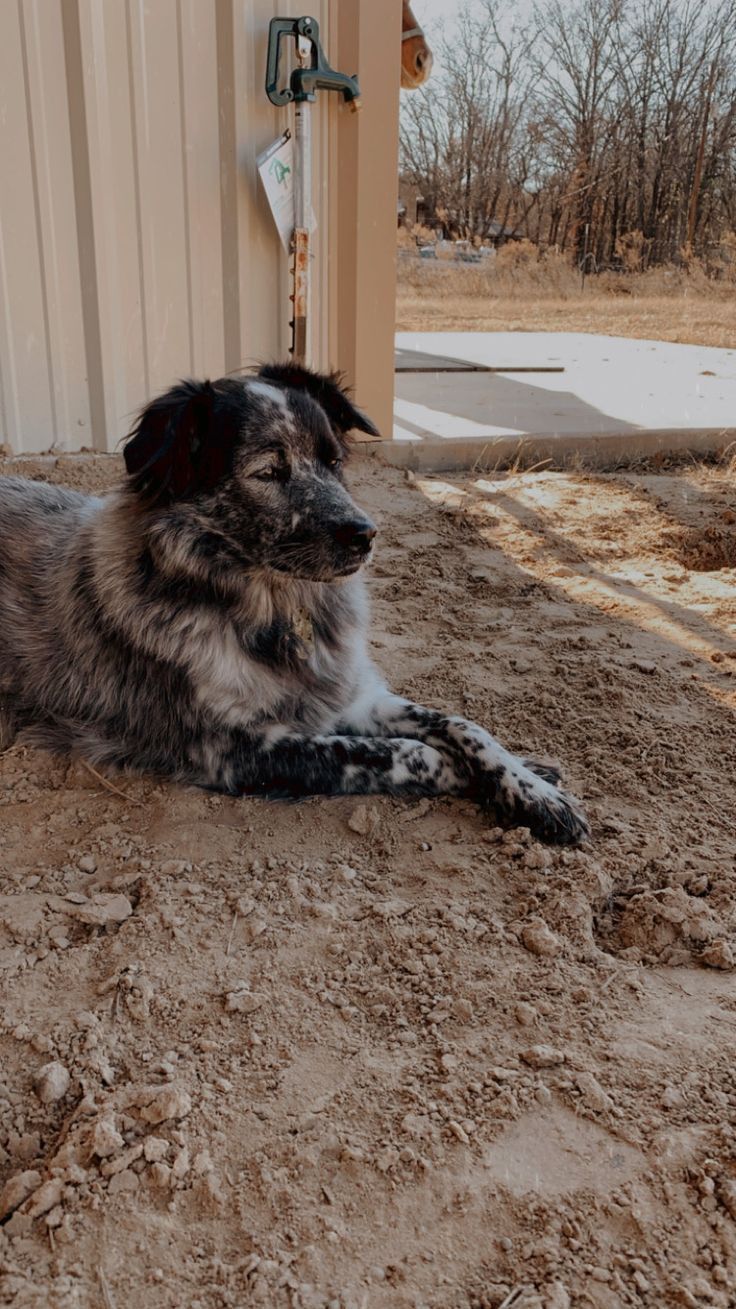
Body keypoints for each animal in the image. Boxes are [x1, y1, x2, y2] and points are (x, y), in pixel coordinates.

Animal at [0, 363, 584, 842]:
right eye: (267, 472)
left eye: (334, 461)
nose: (366, 534)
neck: (279, 609)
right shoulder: (234, 749)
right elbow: (412, 753)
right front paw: (472, 778)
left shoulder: (354, 696)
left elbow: (462, 725)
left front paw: (533, 786)